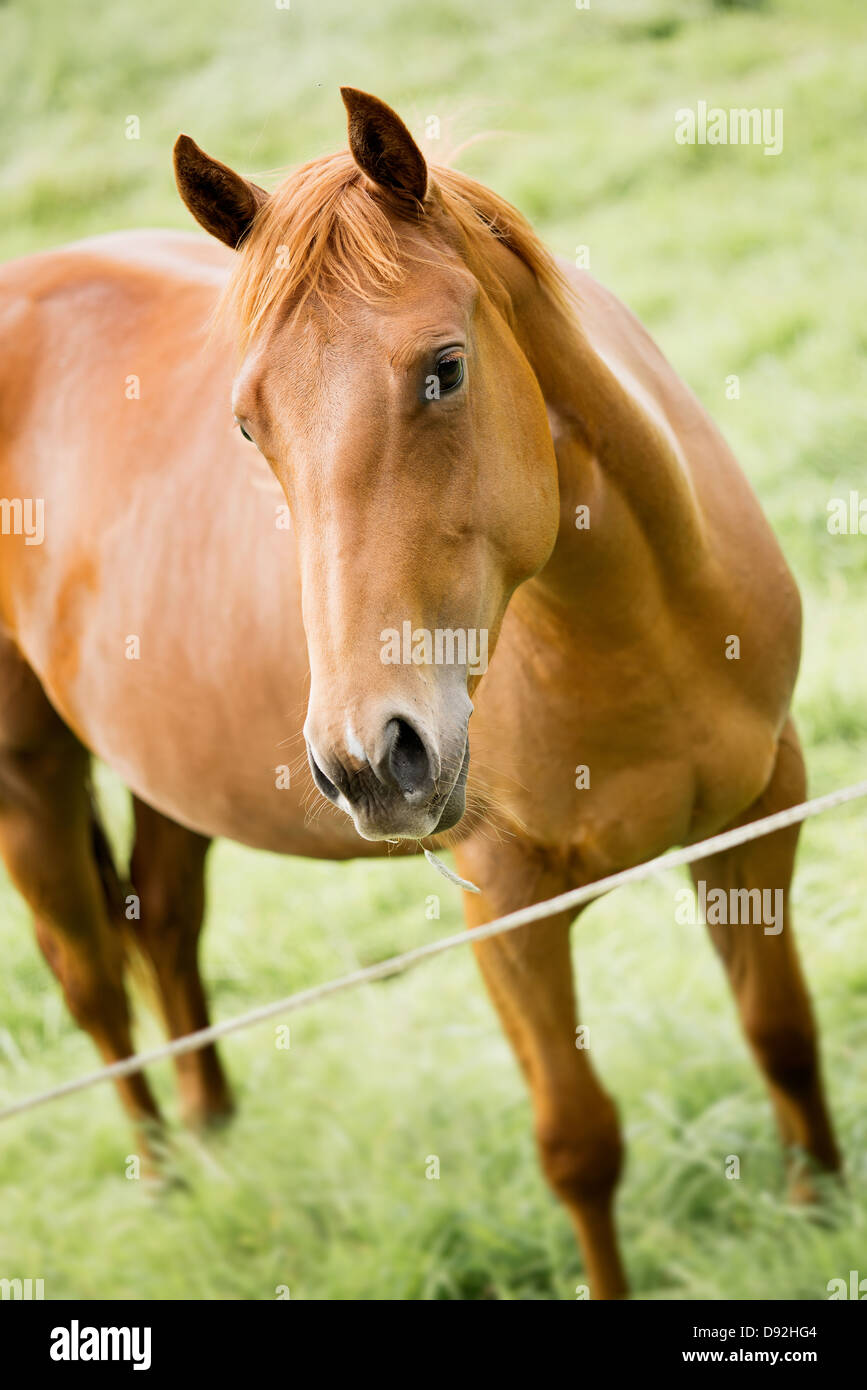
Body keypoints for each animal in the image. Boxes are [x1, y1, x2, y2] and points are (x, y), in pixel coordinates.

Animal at [0, 89, 839, 1301]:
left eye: (444, 368)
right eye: (249, 424)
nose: (368, 758)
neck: (633, 619)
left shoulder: (761, 812)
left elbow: (781, 1032)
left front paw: (819, 1212)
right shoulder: (506, 903)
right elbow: (579, 1142)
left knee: (161, 921)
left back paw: (215, 1132)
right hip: (29, 771)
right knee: (89, 980)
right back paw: (159, 1177)